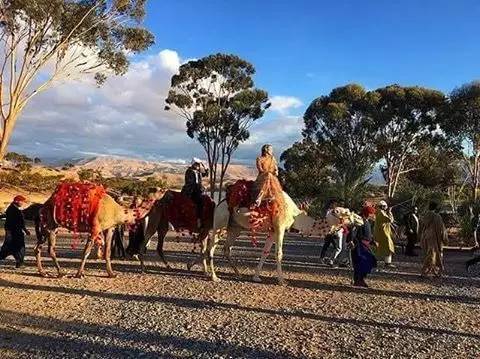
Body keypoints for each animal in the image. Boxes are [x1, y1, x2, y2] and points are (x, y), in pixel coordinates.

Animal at [204, 193, 362, 286]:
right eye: (346, 213)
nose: (360, 219)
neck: (295, 215)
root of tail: (219, 203)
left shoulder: (273, 231)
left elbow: (265, 253)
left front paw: (256, 277)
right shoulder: (280, 227)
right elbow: (279, 253)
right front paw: (282, 281)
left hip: (234, 228)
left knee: (226, 248)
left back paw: (237, 273)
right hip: (220, 223)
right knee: (210, 247)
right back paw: (214, 277)